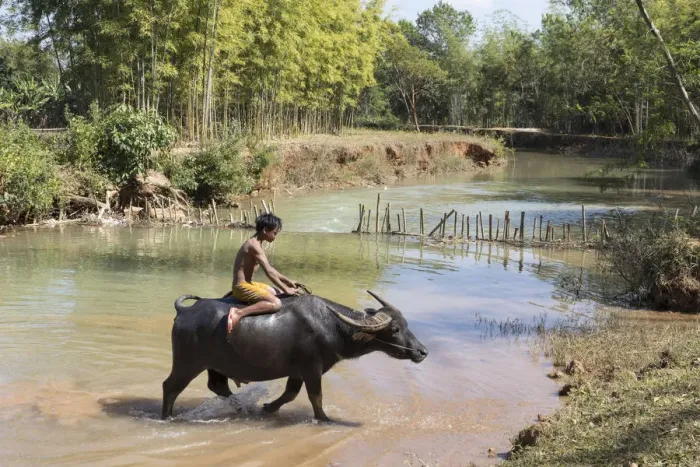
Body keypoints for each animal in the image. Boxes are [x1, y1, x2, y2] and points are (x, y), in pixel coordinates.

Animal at [162, 291, 428, 421]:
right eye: (395, 329)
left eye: (406, 324)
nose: (422, 351)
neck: (332, 326)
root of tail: (184, 312)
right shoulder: (312, 369)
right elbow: (315, 397)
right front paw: (324, 418)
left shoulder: (297, 372)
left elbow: (290, 394)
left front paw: (268, 408)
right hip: (187, 364)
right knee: (170, 387)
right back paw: (167, 417)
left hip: (214, 366)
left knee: (218, 386)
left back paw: (243, 408)